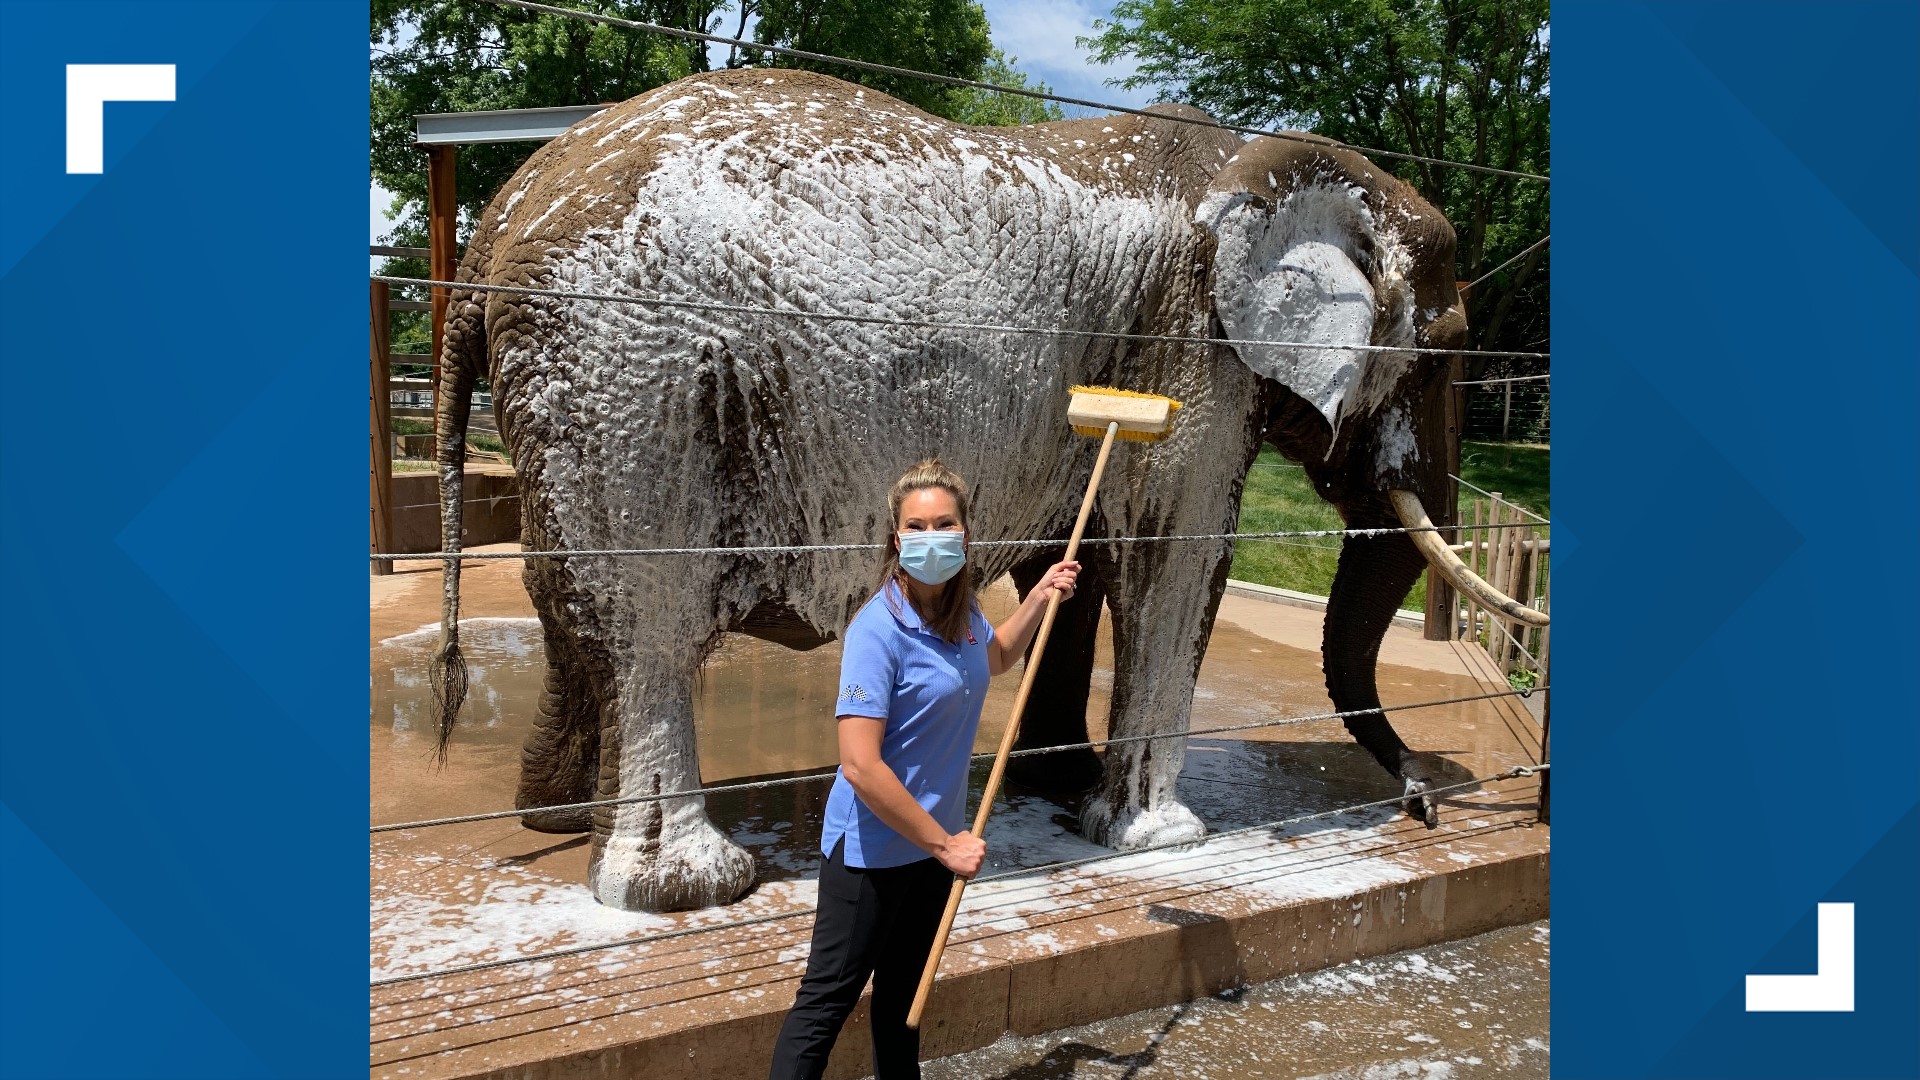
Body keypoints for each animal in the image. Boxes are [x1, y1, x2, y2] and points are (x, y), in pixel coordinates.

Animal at [428, 67, 1536, 907]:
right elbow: (1173, 556)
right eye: (1441, 356)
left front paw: (1064, 792)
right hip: (635, 368)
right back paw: (687, 889)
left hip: (580, 387)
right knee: (650, 615)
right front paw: (1157, 840)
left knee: (573, 604)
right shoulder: (1192, 347)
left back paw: (558, 817)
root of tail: (490, 233)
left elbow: (1076, 560)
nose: (1420, 802)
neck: (1281, 160)